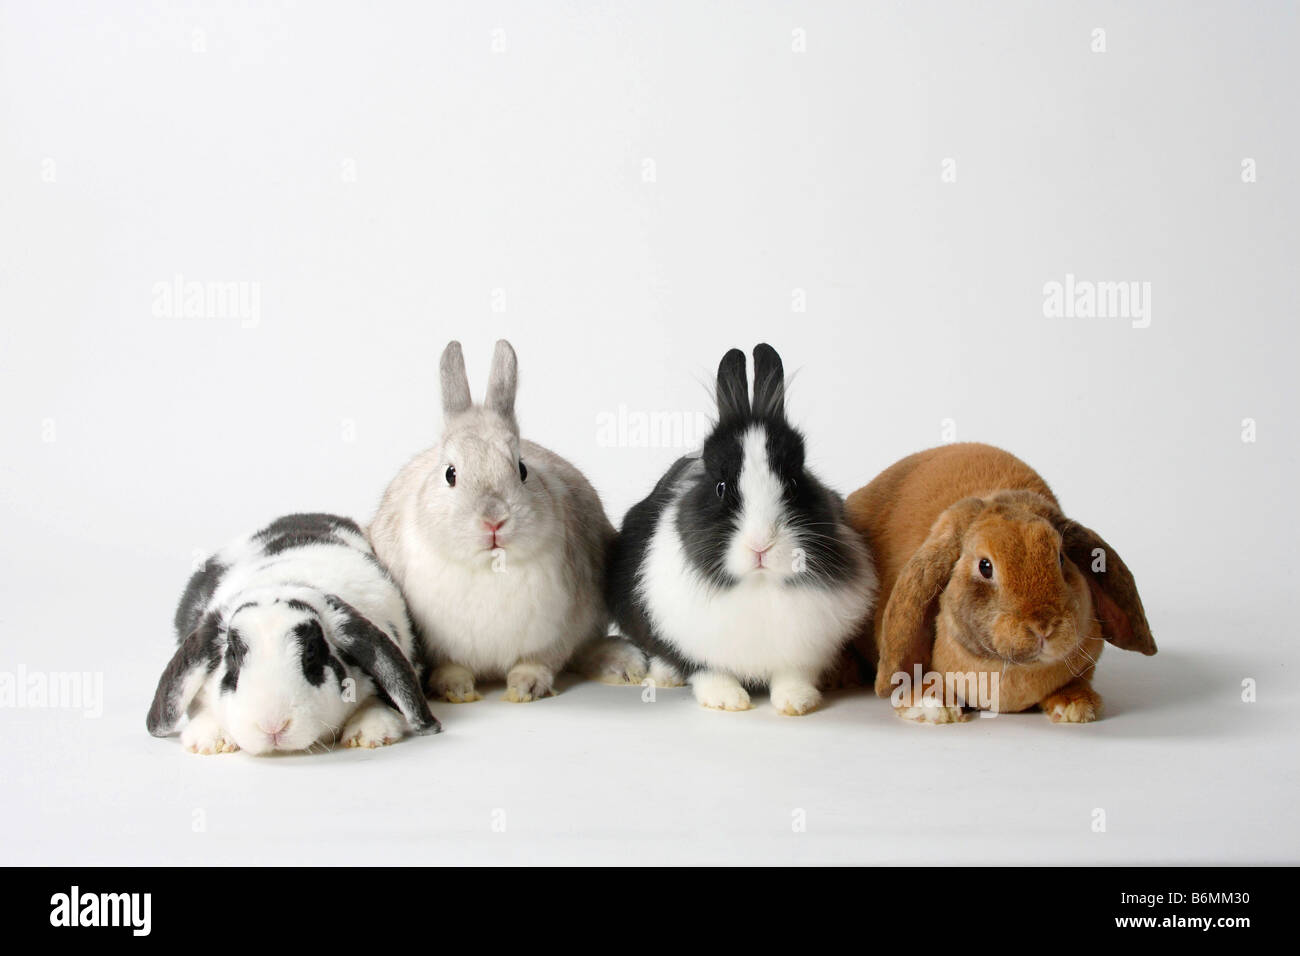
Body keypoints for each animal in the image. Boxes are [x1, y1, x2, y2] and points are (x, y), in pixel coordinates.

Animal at [368, 339, 646, 704]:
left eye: (522, 469)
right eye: (450, 473)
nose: (493, 521)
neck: (491, 566)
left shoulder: (557, 631)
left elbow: (540, 661)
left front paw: (526, 686)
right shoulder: (438, 645)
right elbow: (450, 666)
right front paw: (454, 688)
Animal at [607, 344, 878, 715]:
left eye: (794, 484)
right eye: (721, 487)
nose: (760, 544)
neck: (758, 585)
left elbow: (793, 673)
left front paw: (797, 702)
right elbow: (706, 669)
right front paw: (727, 700)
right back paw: (664, 677)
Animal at [844, 442, 1157, 723]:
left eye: (1060, 558)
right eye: (985, 566)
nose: (1043, 627)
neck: (1009, 668)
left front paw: (1075, 705)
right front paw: (934, 705)